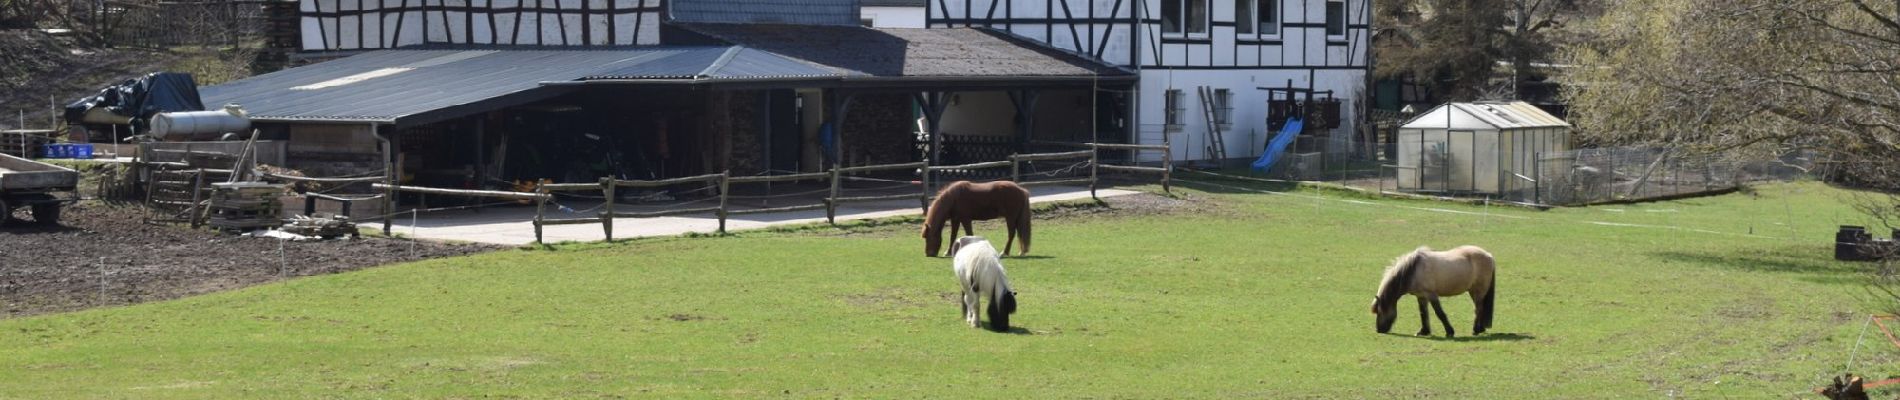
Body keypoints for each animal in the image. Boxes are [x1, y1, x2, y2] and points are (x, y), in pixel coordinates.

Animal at [1368, 244, 1497, 335]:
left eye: (1379, 311)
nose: (1379, 330)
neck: (1414, 270)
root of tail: (1489, 255)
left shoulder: (1431, 295)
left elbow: (1439, 313)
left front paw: (1449, 332)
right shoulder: (1421, 296)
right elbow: (1423, 313)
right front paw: (1424, 331)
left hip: (1478, 292)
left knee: (1478, 309)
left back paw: (1475, 330)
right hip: (1473, 292)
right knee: (1480, 309)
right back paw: (1480, 329)